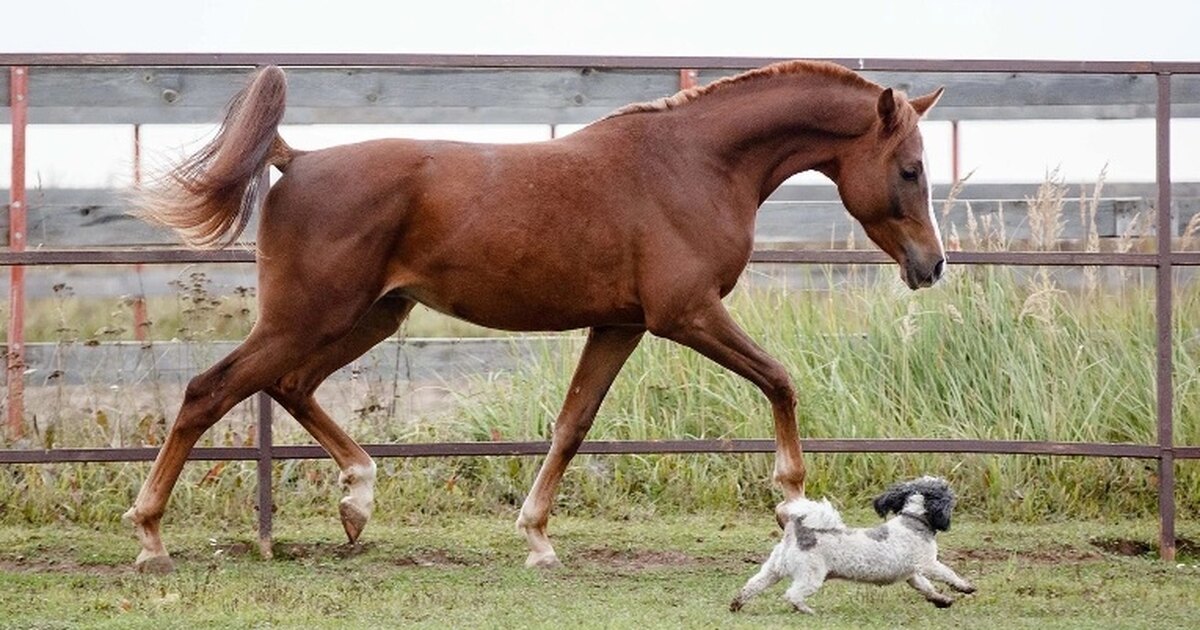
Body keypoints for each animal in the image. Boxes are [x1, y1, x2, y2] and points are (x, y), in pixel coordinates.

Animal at [124, 62, 945, 568]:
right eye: (910, 169)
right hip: (309, 316)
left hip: (370, 317)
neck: (694, 165)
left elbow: (573, 424)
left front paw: (538, 539)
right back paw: (151, 536)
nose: (931, 266)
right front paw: (793, 504)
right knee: (209, 390)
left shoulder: (622, 324)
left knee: (288, 385)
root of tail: (295, 160)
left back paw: (357, 500)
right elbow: (779, 380)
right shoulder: (686, 314)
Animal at [729, 475, 974, 612]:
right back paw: (806, 610)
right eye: (947, 493)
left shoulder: (912, 574)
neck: (913, 520)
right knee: (793, 594)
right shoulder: (927, 564)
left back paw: (737, 603)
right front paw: (965, 587)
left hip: (773, 570)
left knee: (752, 585)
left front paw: (941, 600)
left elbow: (926, 588)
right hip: (811, 576)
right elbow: (948, 573)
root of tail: (798, 529)